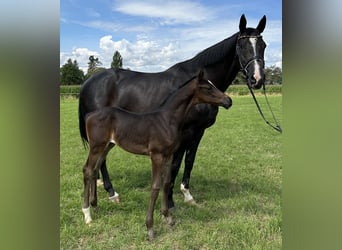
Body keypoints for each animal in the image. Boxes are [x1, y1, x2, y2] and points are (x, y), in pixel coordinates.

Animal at [79, 14, 268, 209]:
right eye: (242, 45)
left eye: (263, 45)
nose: (257, 79)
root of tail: (88, 82)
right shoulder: (185, 133)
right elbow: (175, 165)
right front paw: (169, 201)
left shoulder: (198, 132)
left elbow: (189, 161)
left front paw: (187, 195)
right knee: (101, 161)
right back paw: (112, 193)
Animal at [82, 70, 232, 240]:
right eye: (207, 88)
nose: (228, 100)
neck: (166, 120)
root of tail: (90, 115)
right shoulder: (156, 156)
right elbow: (155, 188)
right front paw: (150, 228)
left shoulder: (169, 155)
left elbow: (166, 183)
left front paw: (168, 218)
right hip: (96, 146)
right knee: (87, 170)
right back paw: (87, 215)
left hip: (107, 146)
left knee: (95, 170)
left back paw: (95, 207)